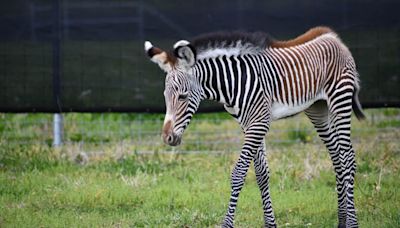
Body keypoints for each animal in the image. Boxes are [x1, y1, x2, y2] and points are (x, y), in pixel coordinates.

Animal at [145, 26, 366, 226]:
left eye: (183, 96)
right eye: (165, 96)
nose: (167, 138)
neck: (232, 82)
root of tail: (333, 36)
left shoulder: (259, 123)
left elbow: (238, 173)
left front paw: (227, 224)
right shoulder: (248, 124)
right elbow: (261, 174)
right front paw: (270, 223)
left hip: (340, 100)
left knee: (348, 158)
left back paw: (352, 222)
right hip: (317, 109)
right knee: (337, 158)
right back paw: (341, 220)